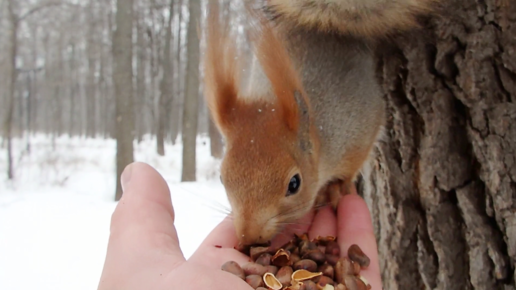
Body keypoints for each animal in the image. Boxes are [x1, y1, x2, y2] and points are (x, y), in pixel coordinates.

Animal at [204, 0, 438, 246]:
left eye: (294, 184)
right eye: (222, 178)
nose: (248, 236)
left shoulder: (359, 131)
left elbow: (352, 167)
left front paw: (335, 188)